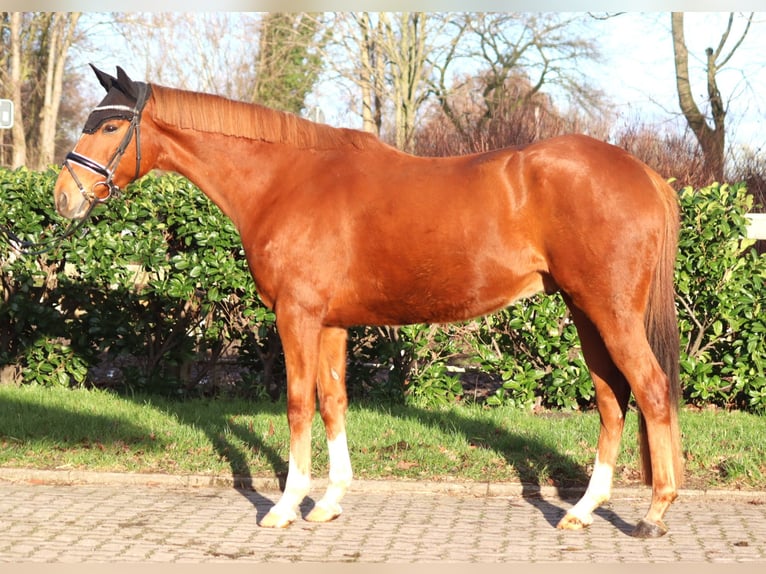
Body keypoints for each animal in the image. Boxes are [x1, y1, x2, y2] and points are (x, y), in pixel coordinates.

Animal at [54, 66, 684, 540]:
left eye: (111, 124)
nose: (64, 197)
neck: (286, 181)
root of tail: (647, 174)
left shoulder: (297, 316)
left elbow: (298, 405)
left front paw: (285, 506)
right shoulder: (331, 324)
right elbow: (334, 402)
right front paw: (330, 501)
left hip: (609, 312)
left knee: (651, 392)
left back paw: (654, 513)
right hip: (585, 313)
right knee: (612, 400)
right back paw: (582, 511)